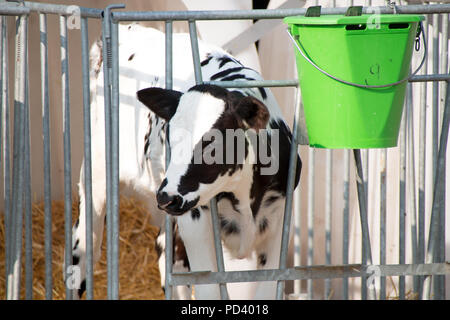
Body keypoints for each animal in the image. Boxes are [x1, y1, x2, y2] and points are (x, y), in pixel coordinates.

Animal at [70, 24, 300, 300]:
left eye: (212, 141)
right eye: (170, 135)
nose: (166, 197)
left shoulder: (277, 224)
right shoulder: (196, 223)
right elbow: (208, 290)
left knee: (165, 250)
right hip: (96, 172)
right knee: (84, 249)